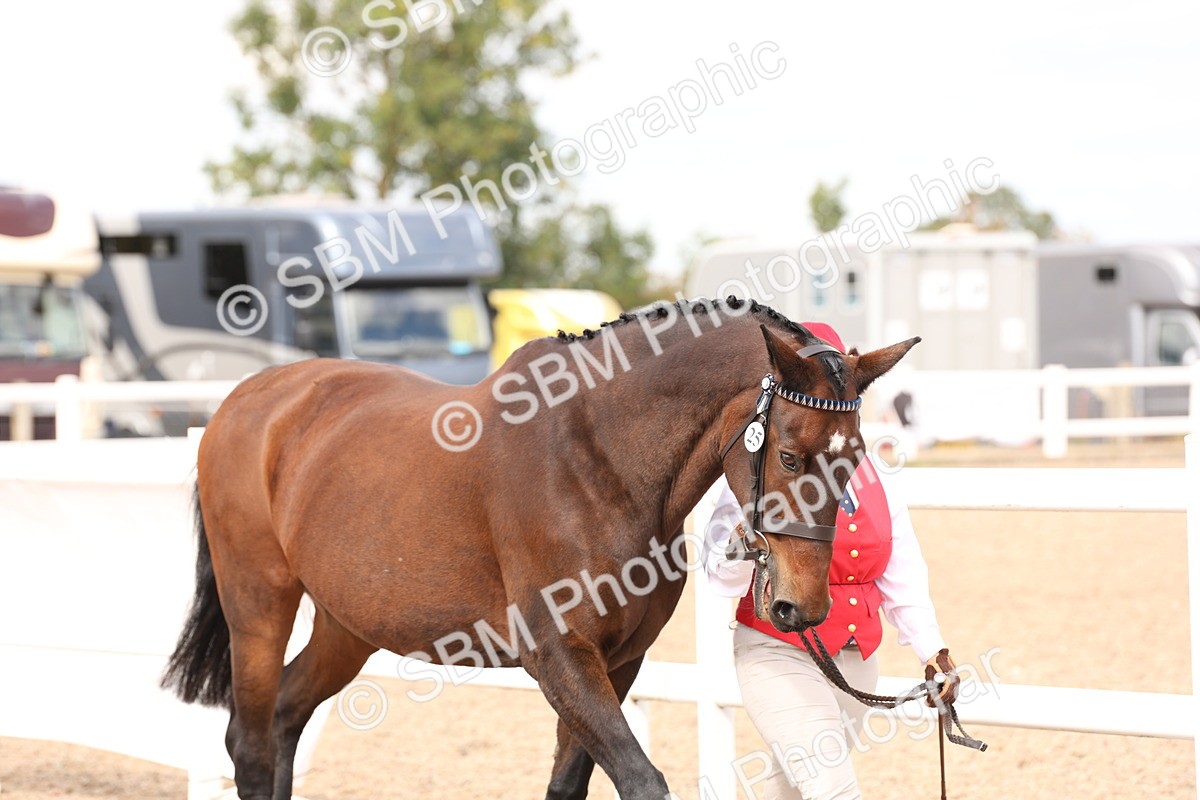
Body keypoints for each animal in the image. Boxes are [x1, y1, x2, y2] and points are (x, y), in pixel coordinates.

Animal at [161, 296, 918, 800]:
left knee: (287, 716)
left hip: (347, 624)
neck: (598, 460)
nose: (802, 607)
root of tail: (245, 401)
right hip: (258, 604)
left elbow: (569, 786)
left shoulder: (619, 662)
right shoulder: (558, 656)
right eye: (788, 456)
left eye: (856, 461)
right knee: (250, 743)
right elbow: (641, 781)